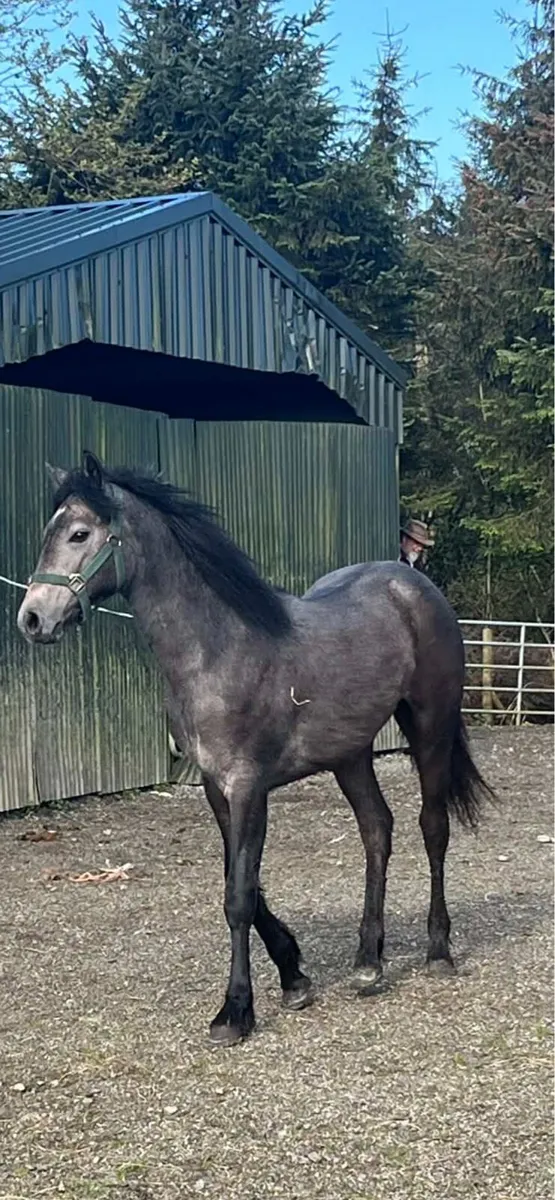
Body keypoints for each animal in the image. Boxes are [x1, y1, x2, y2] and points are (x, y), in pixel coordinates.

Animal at [17, 451, 494, 1048]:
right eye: (48, 533)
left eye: (80, 533)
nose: (32, 618)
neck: (219, 649)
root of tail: (413, 583)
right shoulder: (217, 790)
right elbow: (243, 882)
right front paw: (294, 976)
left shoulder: (248, 787)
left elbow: (239, 896)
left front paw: (235, 1011)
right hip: (350, 754)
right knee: (376, 830)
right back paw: (368, 961)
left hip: (429, 728)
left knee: (433, 828)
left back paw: (437, 951)